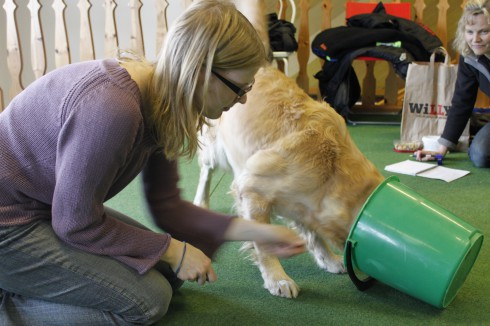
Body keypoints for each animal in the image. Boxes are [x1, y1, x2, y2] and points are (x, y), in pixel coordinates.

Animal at [193, 66, 384, 298]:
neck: (331, 170)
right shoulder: (251, 191)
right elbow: (263, 244)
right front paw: (277, 279)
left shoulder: (304, 205)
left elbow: (314, 235)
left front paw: (328, 259)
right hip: (215, 148)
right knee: (206, 171)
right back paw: (201, 202)